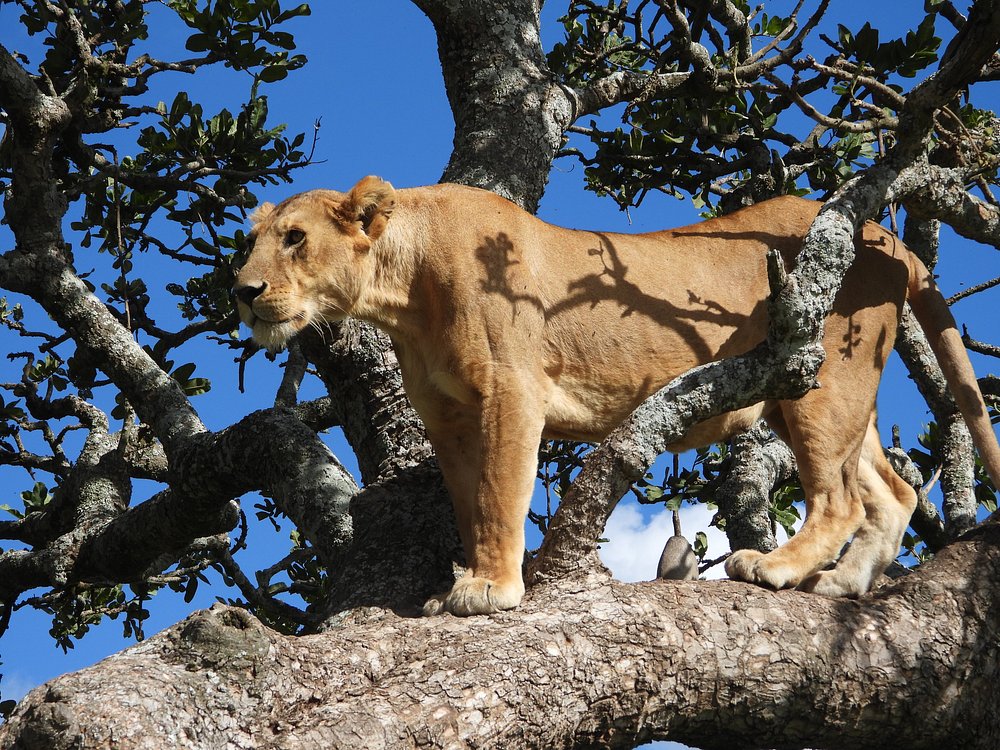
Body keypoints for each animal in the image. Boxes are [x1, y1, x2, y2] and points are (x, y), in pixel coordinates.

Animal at [234, 175, 1000, 616]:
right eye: (252, 242)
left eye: (295, 238)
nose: (242, 290)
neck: (404, 290)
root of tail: (882, 235)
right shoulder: (448, 418)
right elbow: (471, 504)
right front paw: (462, 580)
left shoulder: (511, 392)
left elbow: (501, 494)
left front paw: (493, 589)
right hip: (819, 389)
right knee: (889, 491)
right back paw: (841, 586)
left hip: (822, 377)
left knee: (840, 499)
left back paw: (776, 568)